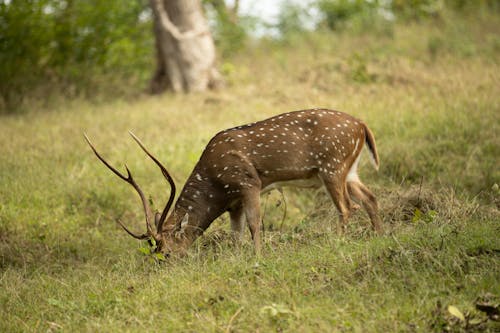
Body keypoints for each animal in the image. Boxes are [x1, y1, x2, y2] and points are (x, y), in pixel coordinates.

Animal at [85, 107, 382, 255]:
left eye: (166, 252)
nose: (162, 267)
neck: (216, 187)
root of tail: (363, 126)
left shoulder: (248, 184)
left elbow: (254, 224)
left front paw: (258, 258)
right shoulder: (234, 202)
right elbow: (235, 234)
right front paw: (238, 258)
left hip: (332, 166)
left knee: (347, 207)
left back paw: (339, 243)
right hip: (349, 169)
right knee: (370, 197)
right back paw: (379, 236)